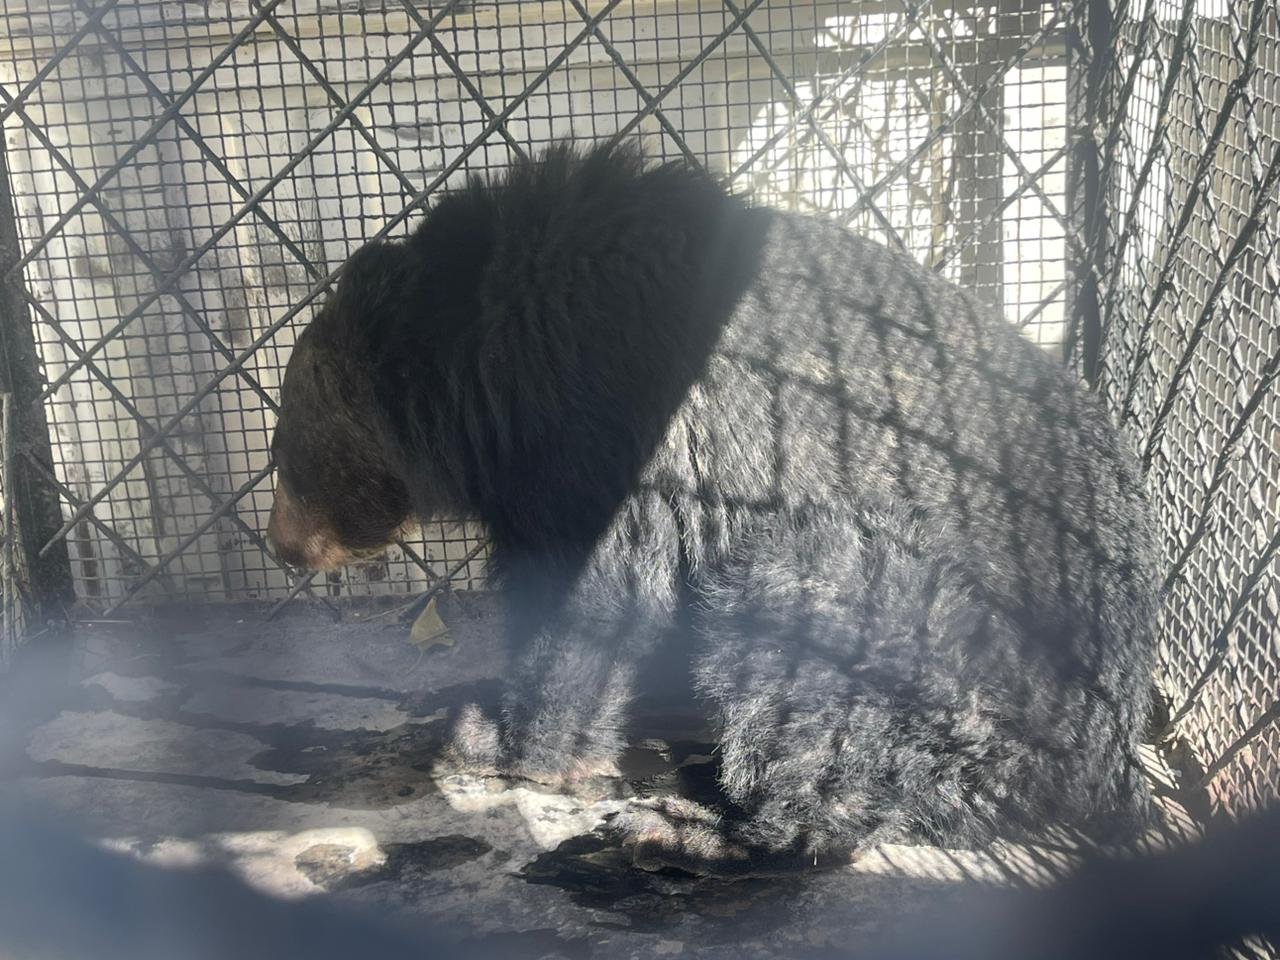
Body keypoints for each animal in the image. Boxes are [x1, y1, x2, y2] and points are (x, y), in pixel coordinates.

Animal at [266, 140, 1159, 877]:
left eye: (288, 452)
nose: (282, 547)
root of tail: (1104, 755)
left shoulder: (616, 437)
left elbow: (597, 603)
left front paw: (494, 741)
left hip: (953, 636)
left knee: (814, 664)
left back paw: (691, 826)